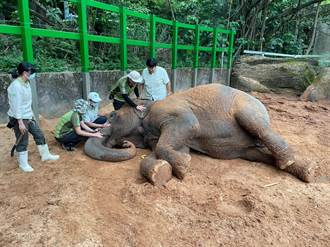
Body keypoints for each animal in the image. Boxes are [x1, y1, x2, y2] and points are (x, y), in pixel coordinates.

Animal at [84, 84, 314, 184]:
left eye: (112, 115)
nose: (123, 143)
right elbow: (173, 146)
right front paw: (161, 171)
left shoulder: (172, 113)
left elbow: (188, 127)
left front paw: (183, 167)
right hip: (246, 148)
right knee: (255, 154)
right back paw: (306, 171)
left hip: (248, 107)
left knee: (255, 124)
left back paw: (292, 162)